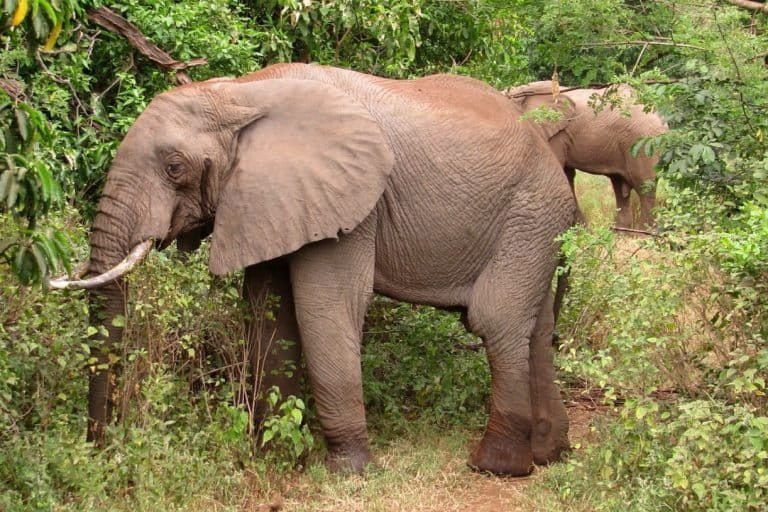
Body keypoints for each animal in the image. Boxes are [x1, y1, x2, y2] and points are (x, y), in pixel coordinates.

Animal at [49, 63, 576, 476]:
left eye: (174, 167)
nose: (99, 451)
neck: (241, 92)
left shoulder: (350, 204)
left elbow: (324, 306)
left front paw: (347, 470)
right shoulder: (269, 199)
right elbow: (268, 312)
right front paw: (275, 454)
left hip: (530, 212)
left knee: (496, 320)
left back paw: (495, 466)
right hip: (538, 225)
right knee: (535, 329)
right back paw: (549, 455)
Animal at [504, 81, 664, 229]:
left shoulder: (556, 134)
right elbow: (567, 174)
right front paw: (581, 230)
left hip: (643, 143)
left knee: (644, 186)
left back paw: (644, 233)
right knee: (619, 186)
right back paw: (621, 232)